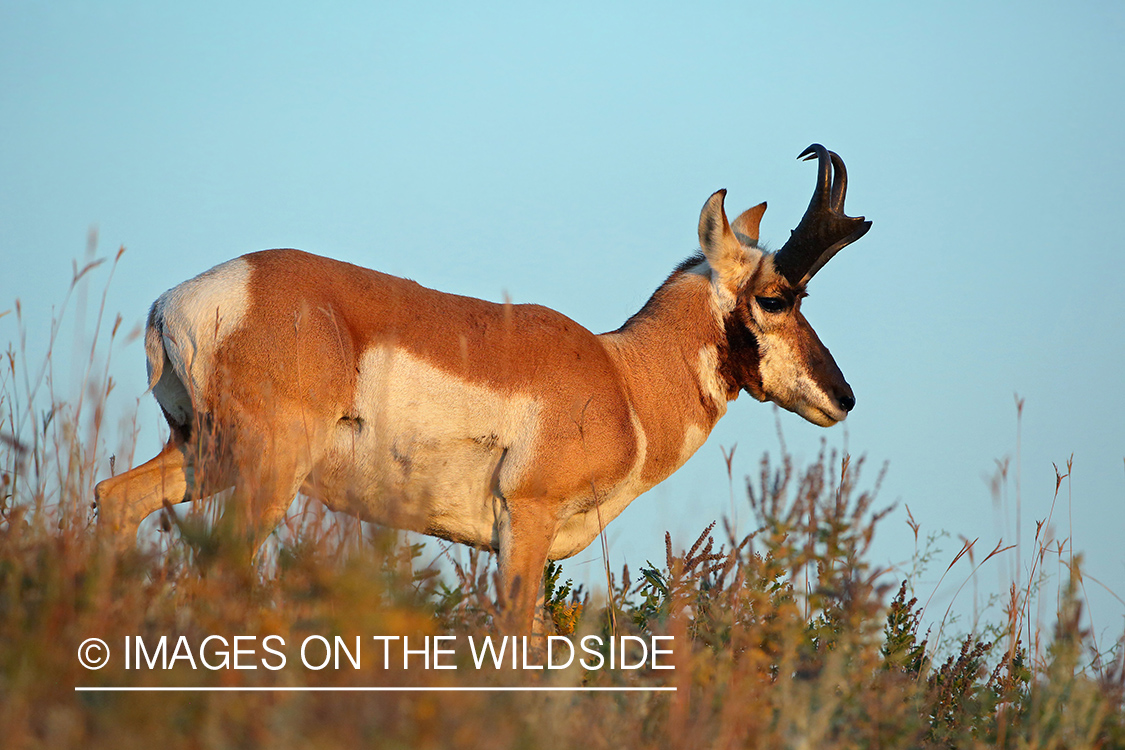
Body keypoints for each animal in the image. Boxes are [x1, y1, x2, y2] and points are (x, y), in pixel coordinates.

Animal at [95, 144, 870, 632]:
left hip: (202, 458)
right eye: (776, 297)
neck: (620, 374)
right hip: (266, 471)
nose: (843, 397)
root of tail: (178, 299)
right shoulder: (524, 521)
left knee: (115, 497)